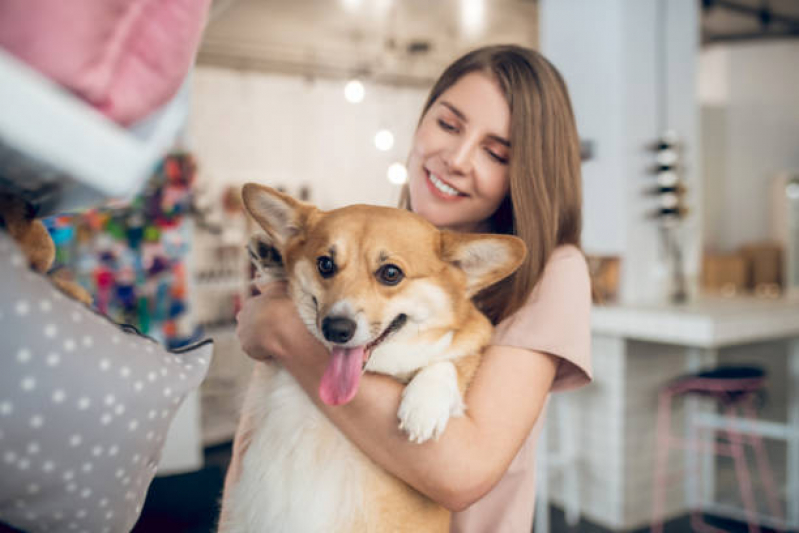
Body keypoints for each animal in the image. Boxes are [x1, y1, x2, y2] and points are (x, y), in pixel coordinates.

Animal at [222, 184, 528, 532]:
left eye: (391, 273)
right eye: (325, 264)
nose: (336, 329)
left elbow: (448, 361)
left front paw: (424, 406)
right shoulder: (270, 371)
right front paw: (273, 259)